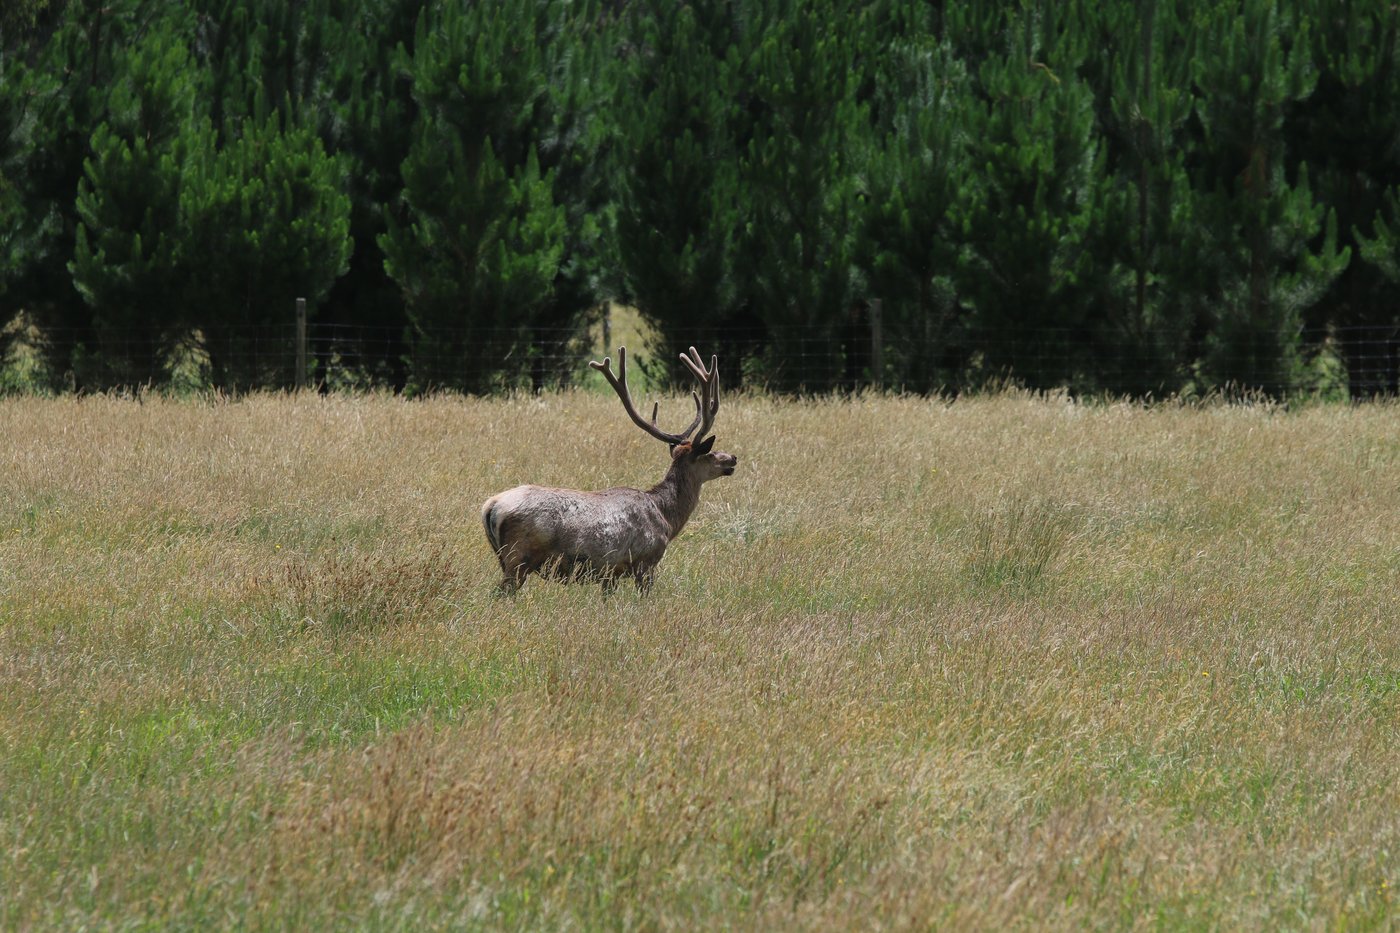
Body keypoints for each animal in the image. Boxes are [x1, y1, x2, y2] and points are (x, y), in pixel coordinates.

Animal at [481, 344, 739, 591]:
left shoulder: (610, 573)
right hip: (519, 556)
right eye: (710, 453)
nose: (733, 458)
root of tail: (491, 506)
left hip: (505, 557)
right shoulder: (646, 561)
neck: (666, 517)